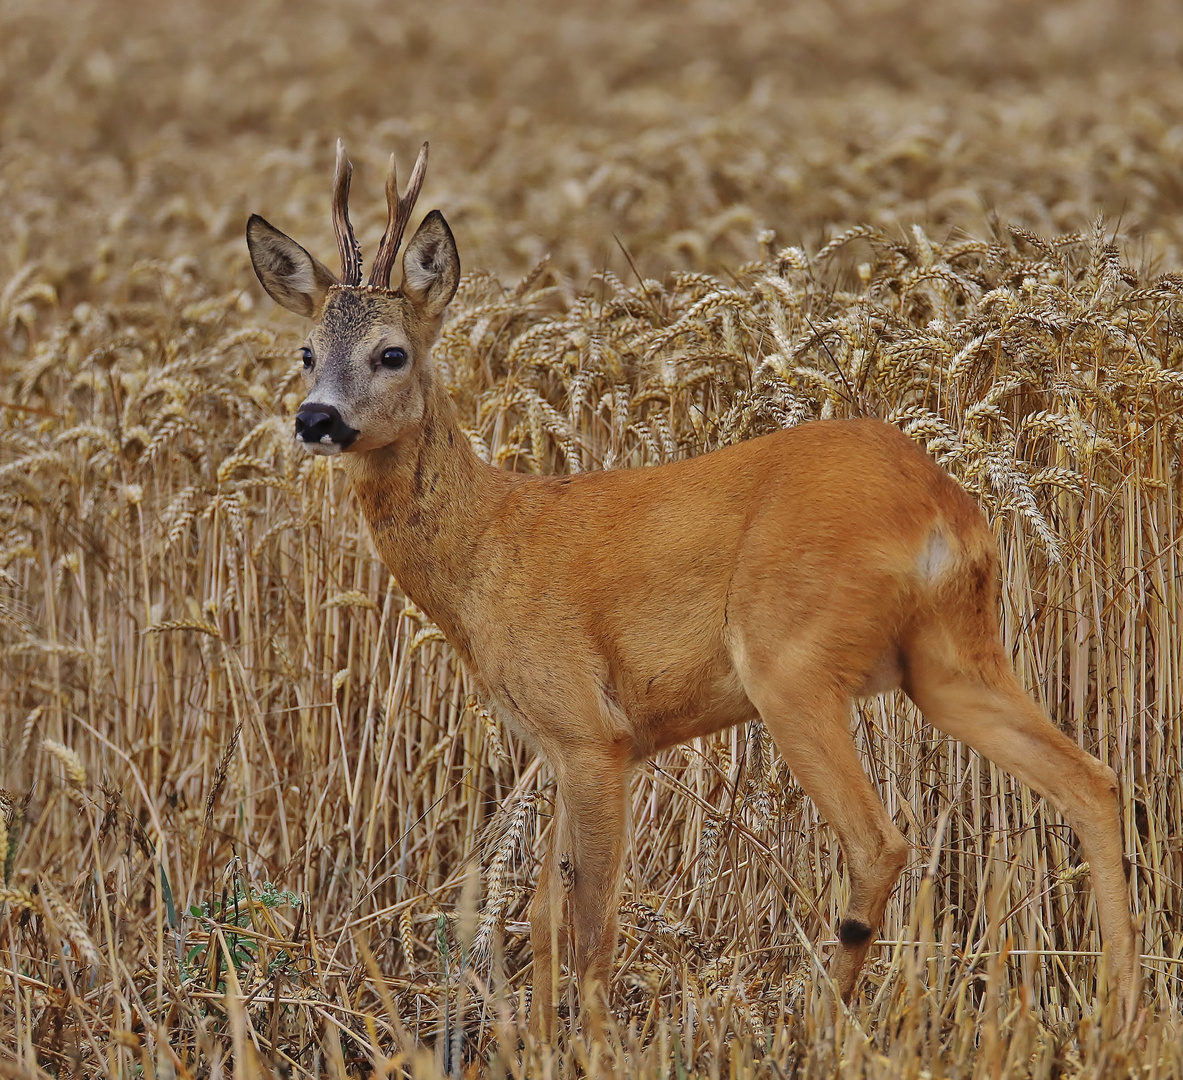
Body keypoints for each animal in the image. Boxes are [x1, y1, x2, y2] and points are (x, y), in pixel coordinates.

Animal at [247, 138, 1135, 1031]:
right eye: (306, 352)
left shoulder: (590, 728)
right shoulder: (571, 744)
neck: (491, 545)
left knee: (879, 840)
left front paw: (592, 1041)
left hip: (789, 662)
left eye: (391, 352)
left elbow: (590, 920)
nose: (316, 419)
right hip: (950, 659)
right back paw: (1122, 1004)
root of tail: (943, 508)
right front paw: (535, 1040)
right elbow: (541, 912)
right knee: (1090, 780)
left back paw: (819, 1022)